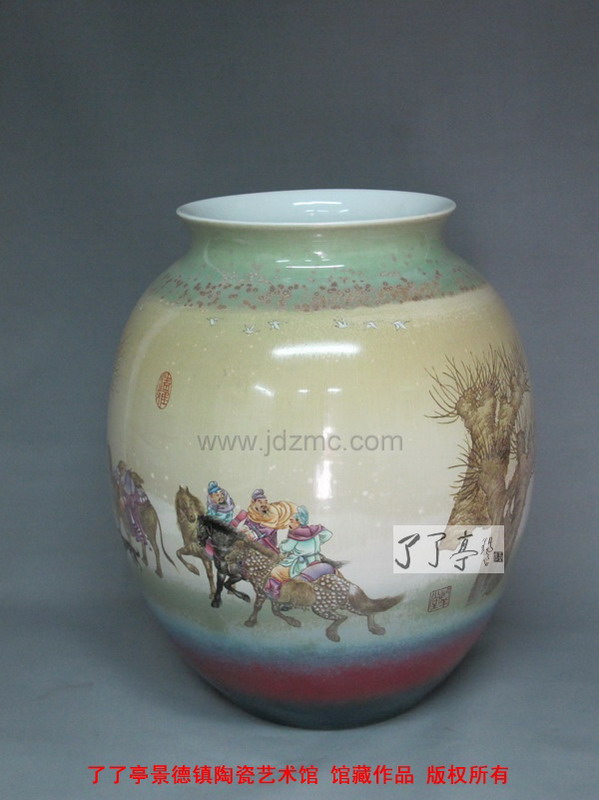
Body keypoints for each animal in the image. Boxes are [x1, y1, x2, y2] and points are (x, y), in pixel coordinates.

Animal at [205, 522, 405, 642]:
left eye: (238, 548)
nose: (224, 559)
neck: (263, 567)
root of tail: (347, 585)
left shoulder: (262, 592)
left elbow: (258, 607)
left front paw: (250, 622)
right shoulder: (274, 596)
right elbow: (275, 611)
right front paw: (293, 622)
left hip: (321, 608)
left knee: (343, 617)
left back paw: (332, 634)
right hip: (346, 604)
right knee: (368, 612)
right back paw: (376, 629)